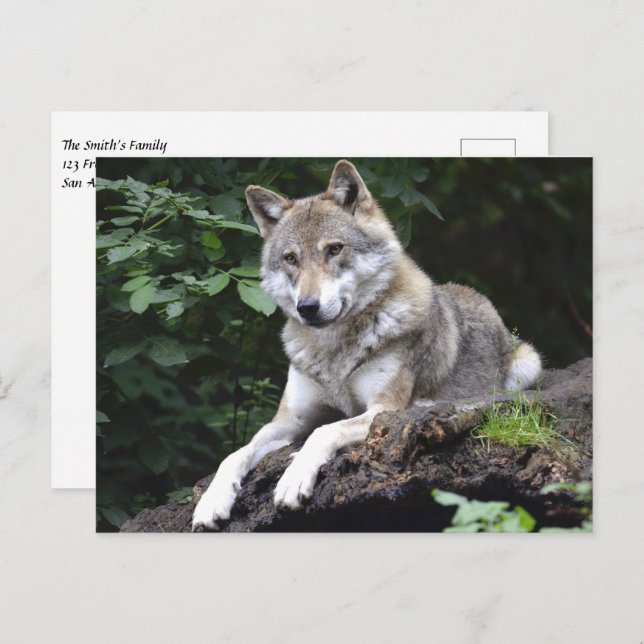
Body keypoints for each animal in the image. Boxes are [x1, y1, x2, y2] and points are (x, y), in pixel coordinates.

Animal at [192, 160, 541, 530]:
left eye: (334, 249)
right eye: (290, 259)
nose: (307, 307)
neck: (334, 352)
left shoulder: (380, 409)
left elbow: (323, 431)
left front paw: (293, 479)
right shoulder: (288, 421)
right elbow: (235, 454)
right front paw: (211, 501)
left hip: (528, 364)